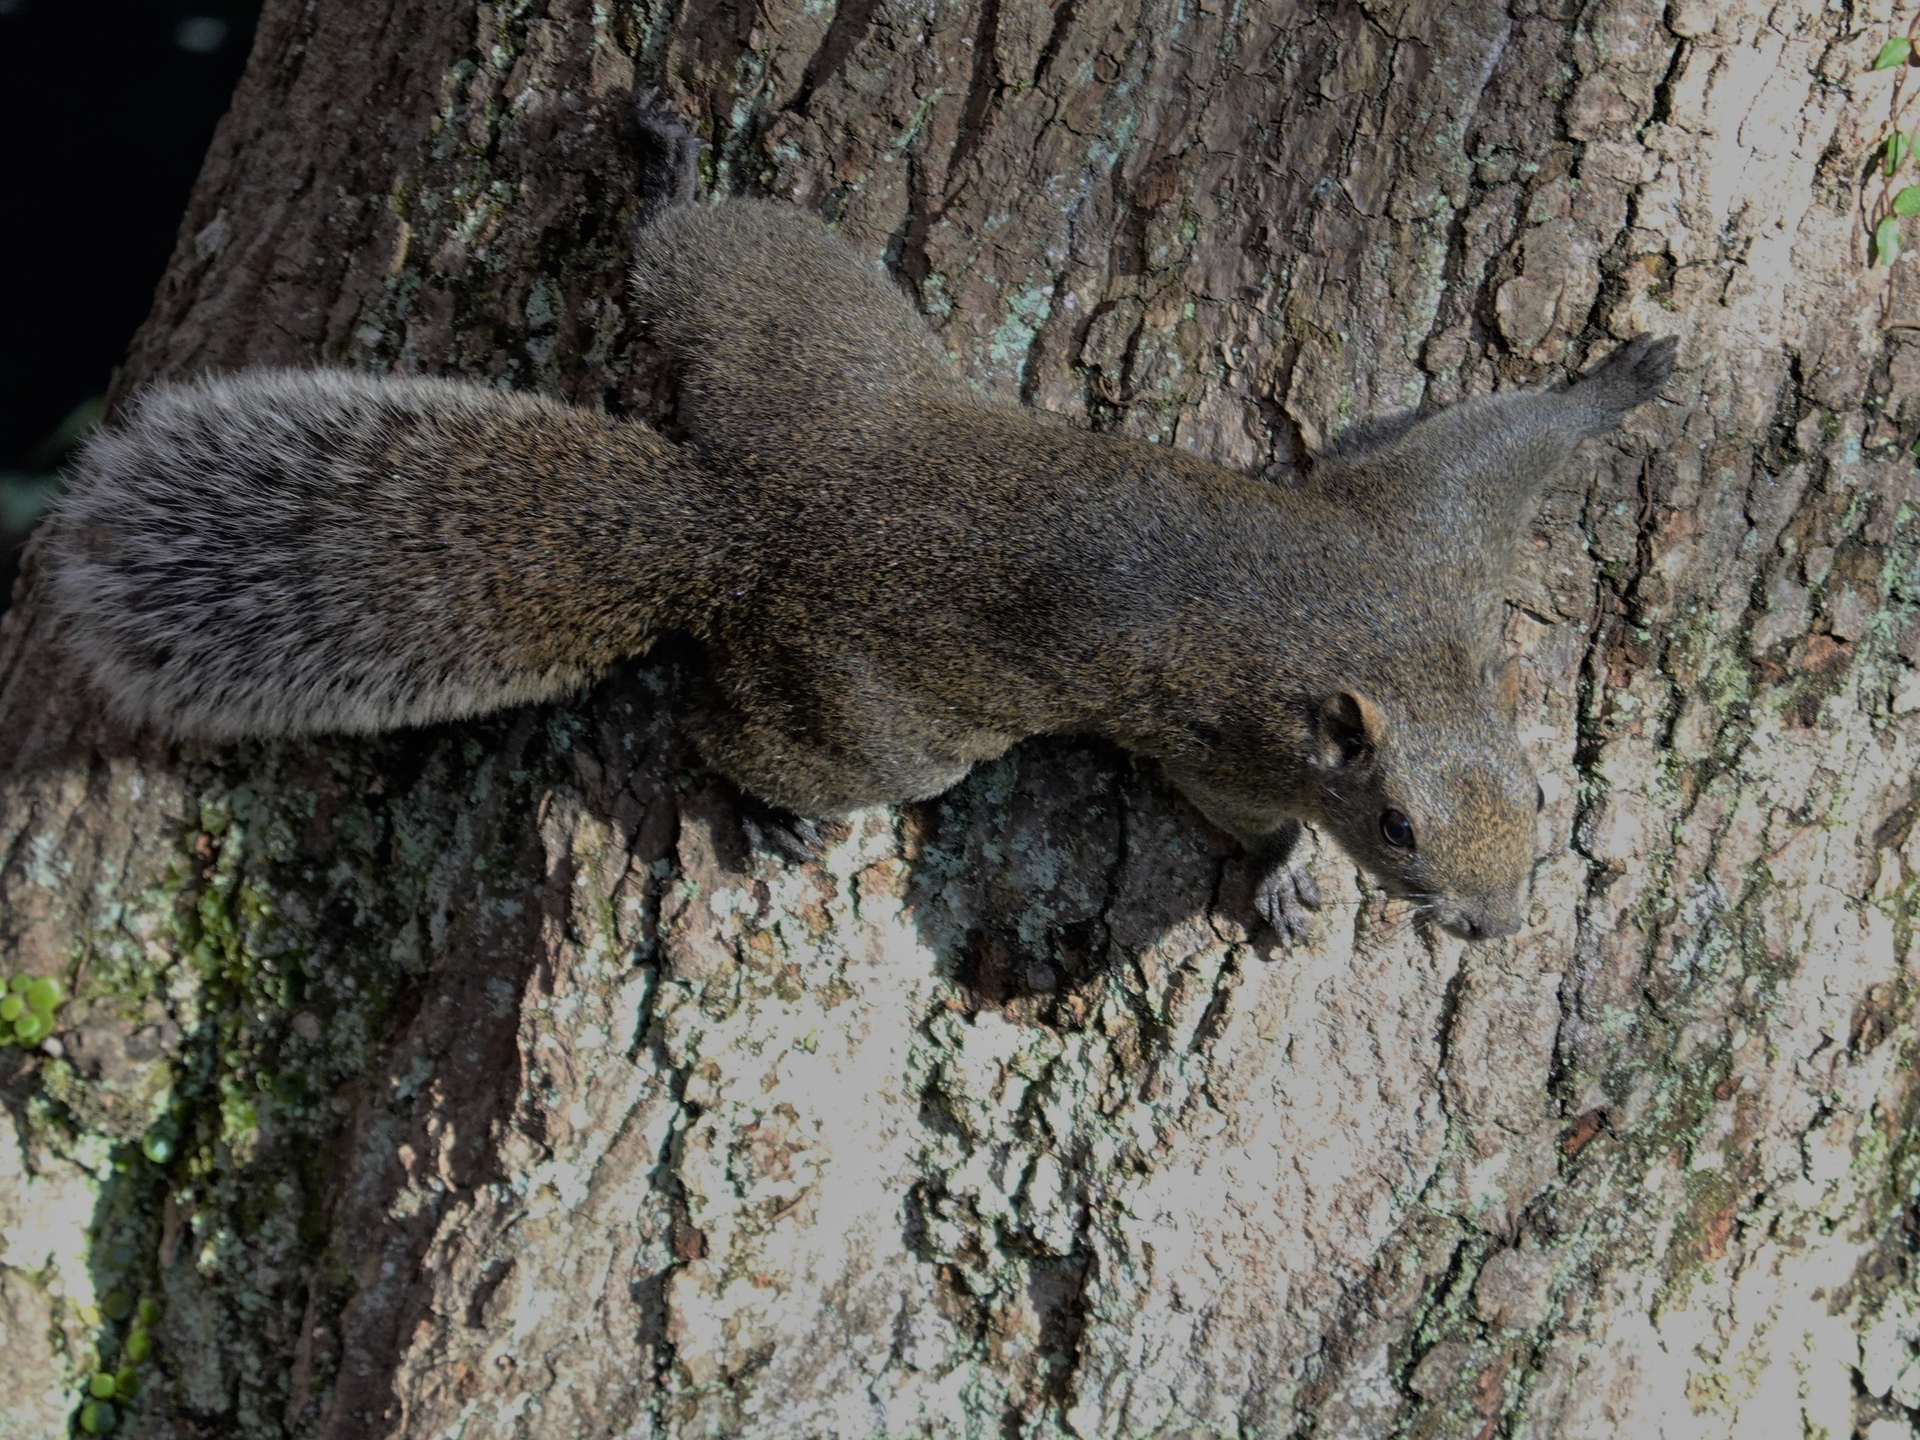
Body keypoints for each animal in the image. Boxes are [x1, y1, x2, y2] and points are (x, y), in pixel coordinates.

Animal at [37, 90, 1674, 948]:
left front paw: (1622, 379)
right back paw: (753, 807)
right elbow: (1236, 804)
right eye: (1394, 826)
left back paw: (668, 166)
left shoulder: (1425, 543)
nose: (1491, 929)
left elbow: (1494, 435)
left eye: (1540, 793)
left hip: (803, 322)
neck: (1396, 653)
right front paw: (1274, 881)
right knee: (729, 723)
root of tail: (736, 517)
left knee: (701, 249)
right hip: (880, 717)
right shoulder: (1240, 722)